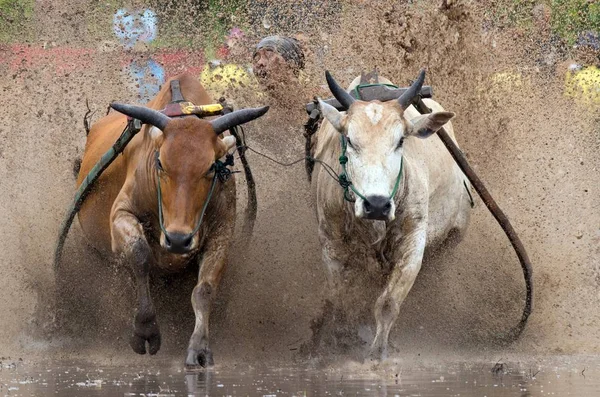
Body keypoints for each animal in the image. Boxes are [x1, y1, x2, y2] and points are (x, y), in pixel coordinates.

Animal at [77, 72, 268, 366]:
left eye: (211, 168)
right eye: (160, 163)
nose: (178, 240)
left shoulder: (222, 233)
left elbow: (204, 289)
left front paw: (199, 347)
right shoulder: (122, 214)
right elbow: (140, 256)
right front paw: (145, 329)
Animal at [310, 69, 474, 358]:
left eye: (400, 141)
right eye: (350, 140)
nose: (376, 204)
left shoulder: (413, 243)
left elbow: (387, 304)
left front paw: (377, 354)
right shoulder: (332, 246)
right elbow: (340, 299)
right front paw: (337, 343)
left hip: (453, 237)